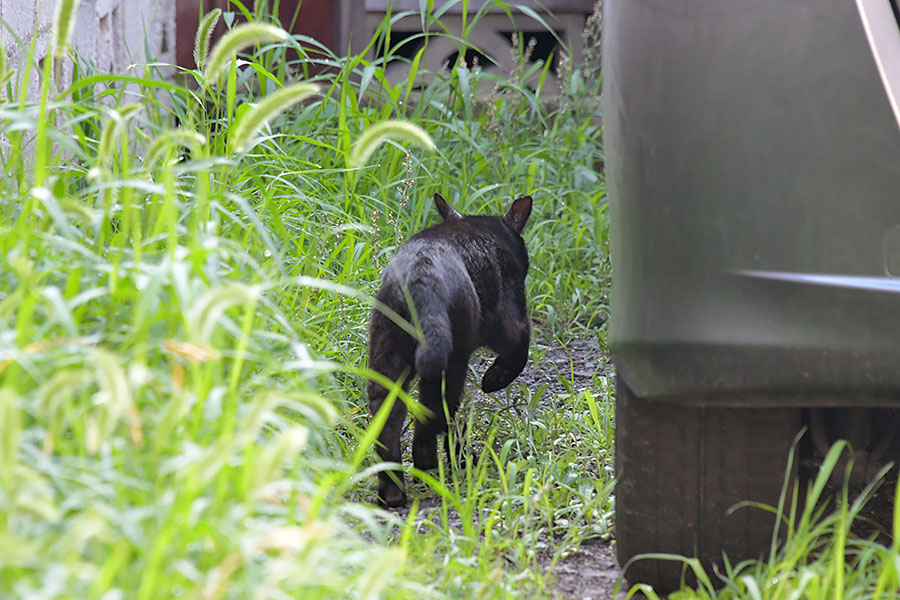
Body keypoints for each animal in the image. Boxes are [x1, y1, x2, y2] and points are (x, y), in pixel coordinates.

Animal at [368, 193, 532, 506]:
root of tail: (420, 273)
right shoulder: (512, 324)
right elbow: (519, 354)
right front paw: (492, 381)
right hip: (453, 358)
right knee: (438, 413)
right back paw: (449, 463)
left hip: (388, 357)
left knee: (389, 422)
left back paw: (394, 492)